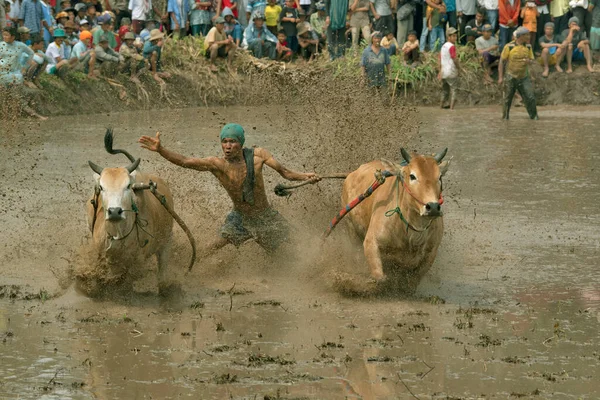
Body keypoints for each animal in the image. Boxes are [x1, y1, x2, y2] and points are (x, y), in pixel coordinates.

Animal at [86, 130, 176, 296]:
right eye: (101, 187)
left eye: (128, 186)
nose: (115, 212)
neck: (118, 234)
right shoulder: (100, 255)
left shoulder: (137, 263)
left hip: (166, 240)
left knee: (162, 272)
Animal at [342, 148, 450, 292]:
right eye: (412, 176)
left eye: (439, 177)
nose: (432, 207)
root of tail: (352, 174)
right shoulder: (371, 242)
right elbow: (380, 279)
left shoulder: (431, 253)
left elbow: (412, 282)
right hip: (350, 228)